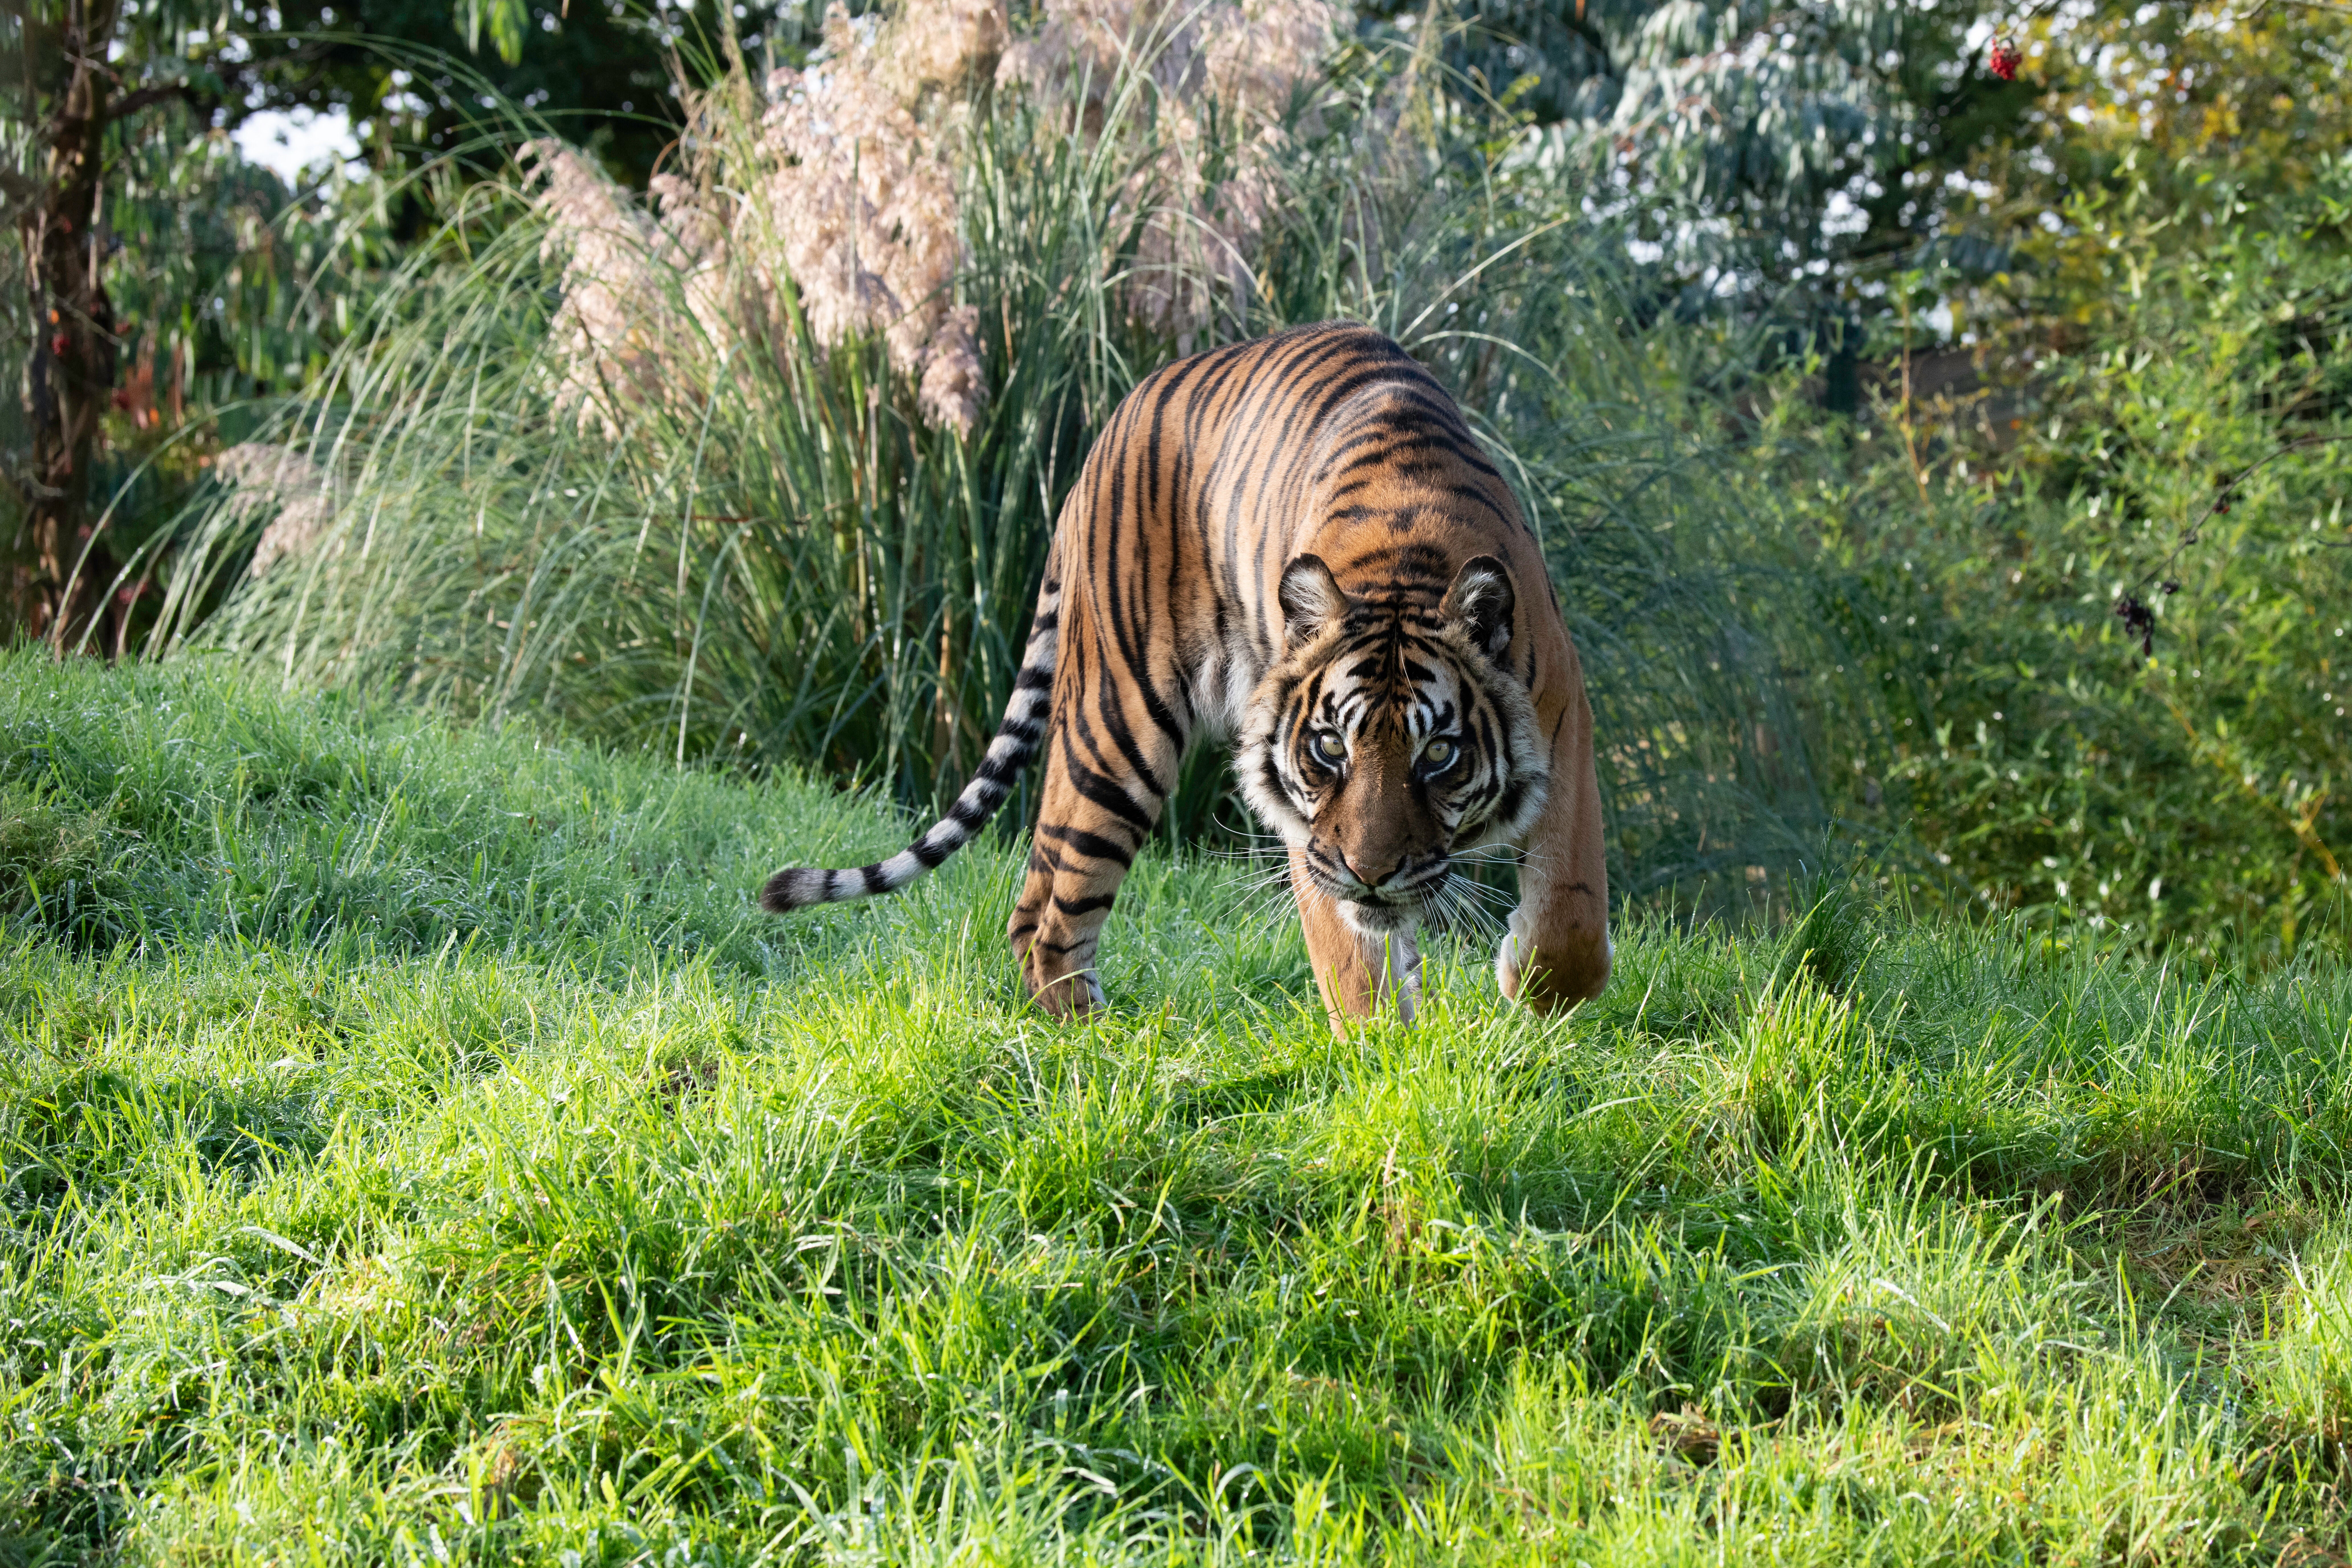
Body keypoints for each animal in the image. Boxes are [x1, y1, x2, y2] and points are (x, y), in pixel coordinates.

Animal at [760, 321, 1610, 1029]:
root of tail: (1102, 438)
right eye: (1329, 748)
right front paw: (1387, 1061)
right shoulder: (1308, 825)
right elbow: (1350, 959)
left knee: (1032, 902)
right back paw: (1105, 1050)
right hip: (1116, 728)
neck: (1406, 565)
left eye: (1438, 755)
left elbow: (1571, 921)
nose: (1370, 875)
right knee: (1054, 914)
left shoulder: (1563, 729)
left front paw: (1526, 993)